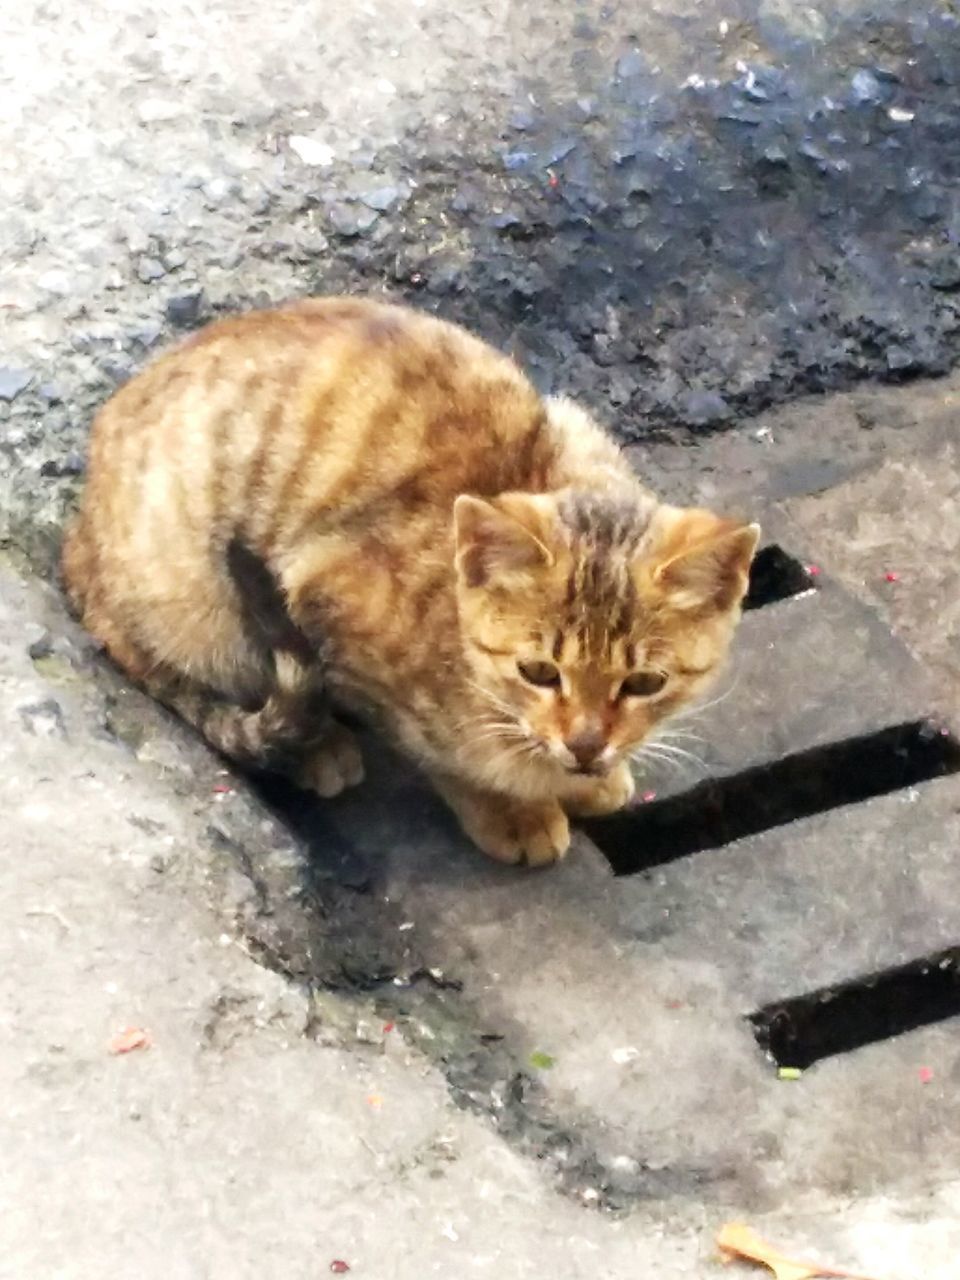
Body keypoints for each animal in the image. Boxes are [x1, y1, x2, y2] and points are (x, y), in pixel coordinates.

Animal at [64, 294, 762, 865]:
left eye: (645, 683)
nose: (588, 747)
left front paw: (584, 777)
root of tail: (77, 536)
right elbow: (441, 750)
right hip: (196, 603)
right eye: (538, 671)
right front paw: (512, 807)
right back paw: (320, 748)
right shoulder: (329, 601)